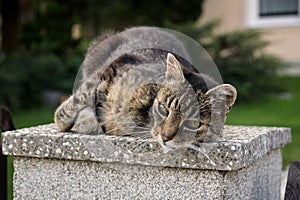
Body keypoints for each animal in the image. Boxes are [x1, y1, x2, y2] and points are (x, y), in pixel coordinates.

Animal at [54, 26, 237, 152]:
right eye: (163, 108)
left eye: (194, 123)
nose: (165, 136)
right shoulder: (112, 67)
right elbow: (75, 102)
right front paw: (66, 120)